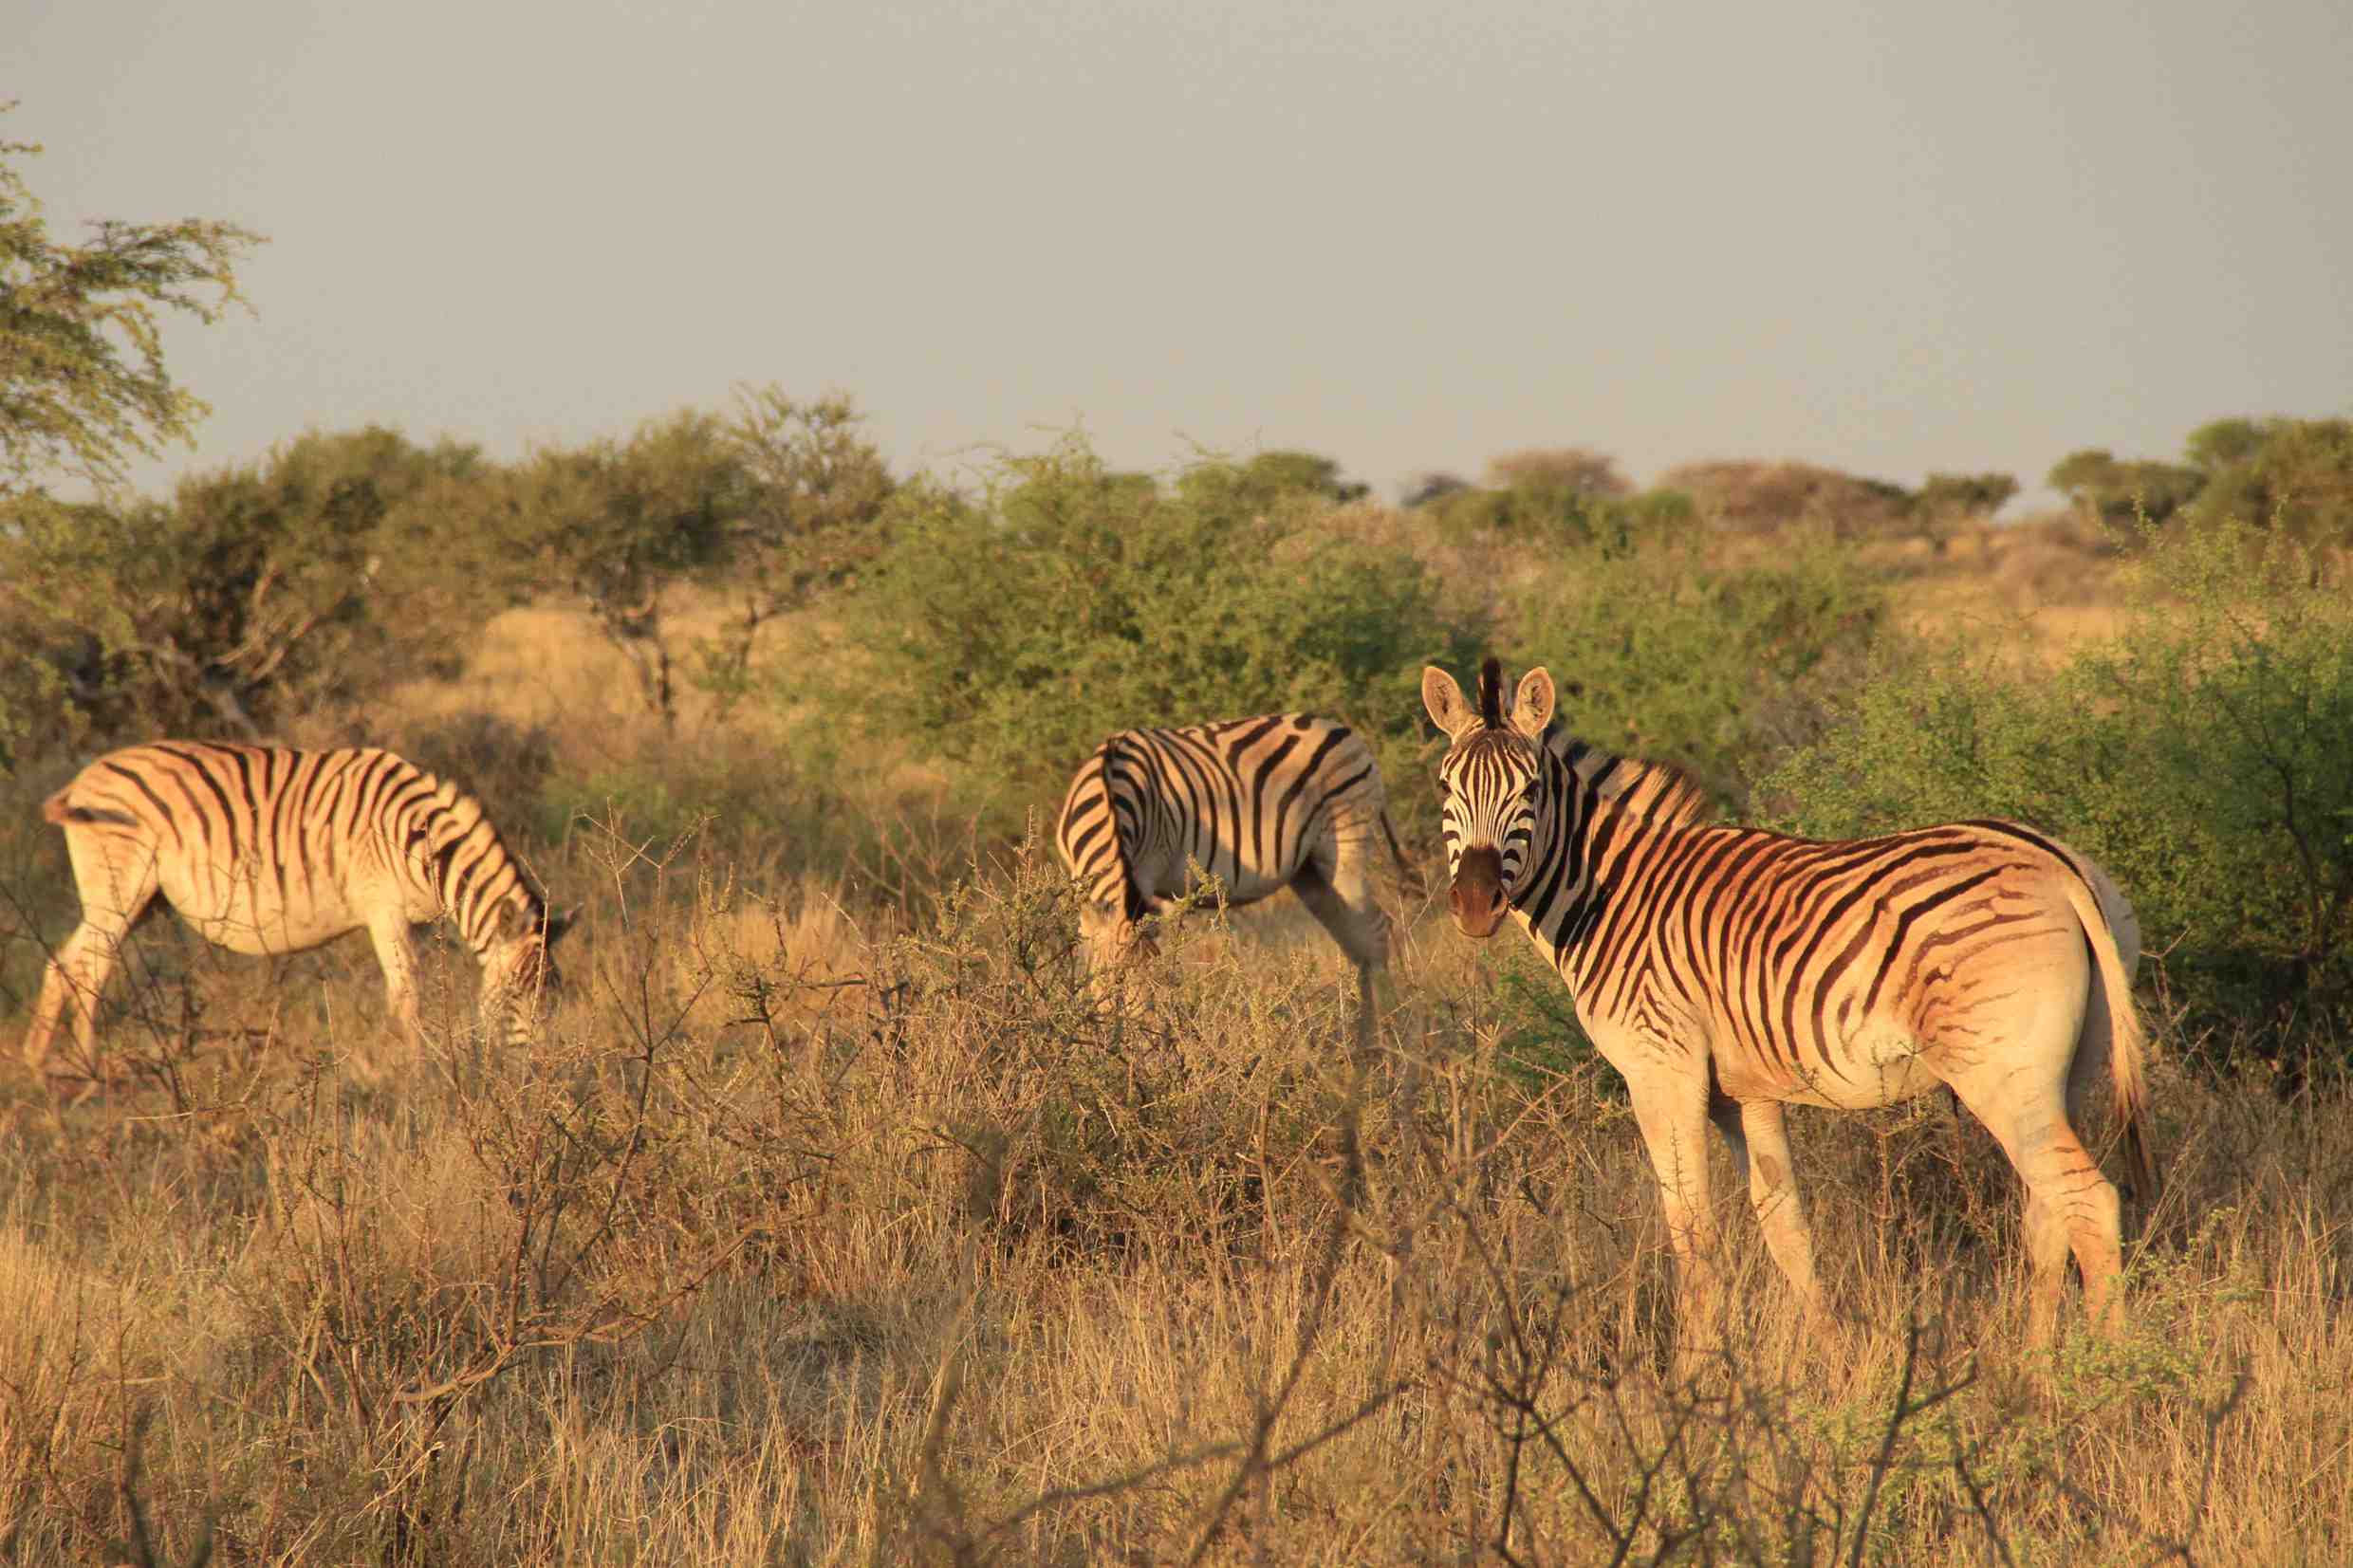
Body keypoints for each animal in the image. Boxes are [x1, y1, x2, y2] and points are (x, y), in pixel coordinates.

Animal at [24, 743, 574, 1072]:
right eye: (516, 997)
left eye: (554, 999)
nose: (540, 1075)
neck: (423, 844)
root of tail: (83, 779)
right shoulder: (384, 908)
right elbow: (408, 994)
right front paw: (417, 1072)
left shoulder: (413, 922)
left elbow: (414, 991)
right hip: (122, 886)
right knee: (91, 968)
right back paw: (89, 1069)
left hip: (133, 899)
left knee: (62, 962)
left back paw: (37, 1067)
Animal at [1059, 719, 1402, 1048]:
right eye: (1117, 986)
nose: (1149, 1050)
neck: (1110, 796)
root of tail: (1343, 729)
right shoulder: (1088, 900)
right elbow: (1090, 971)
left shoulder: (1148, 870)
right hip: (1310, 873)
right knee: (1356, 942)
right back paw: (1364, 1043)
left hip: (1345, 845)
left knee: (1374, 931)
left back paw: (1384, 1037)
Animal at [1412, 662, 2155, 1354]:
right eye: (1445, 790)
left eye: (1529, 790)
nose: (1474, 905)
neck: (1611, 896)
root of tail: (2055, 864)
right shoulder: (1746, 1093)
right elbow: (1785, 1226)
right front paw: (1832, 1359)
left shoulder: (1662, 1069)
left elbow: (1693, 1231)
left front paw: (1696, 1373)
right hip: (2062, 1070)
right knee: (2049, 1210)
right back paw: (2035, 1364)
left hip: (2000, 1072)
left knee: (2088, 1201)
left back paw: (2105, 1374)